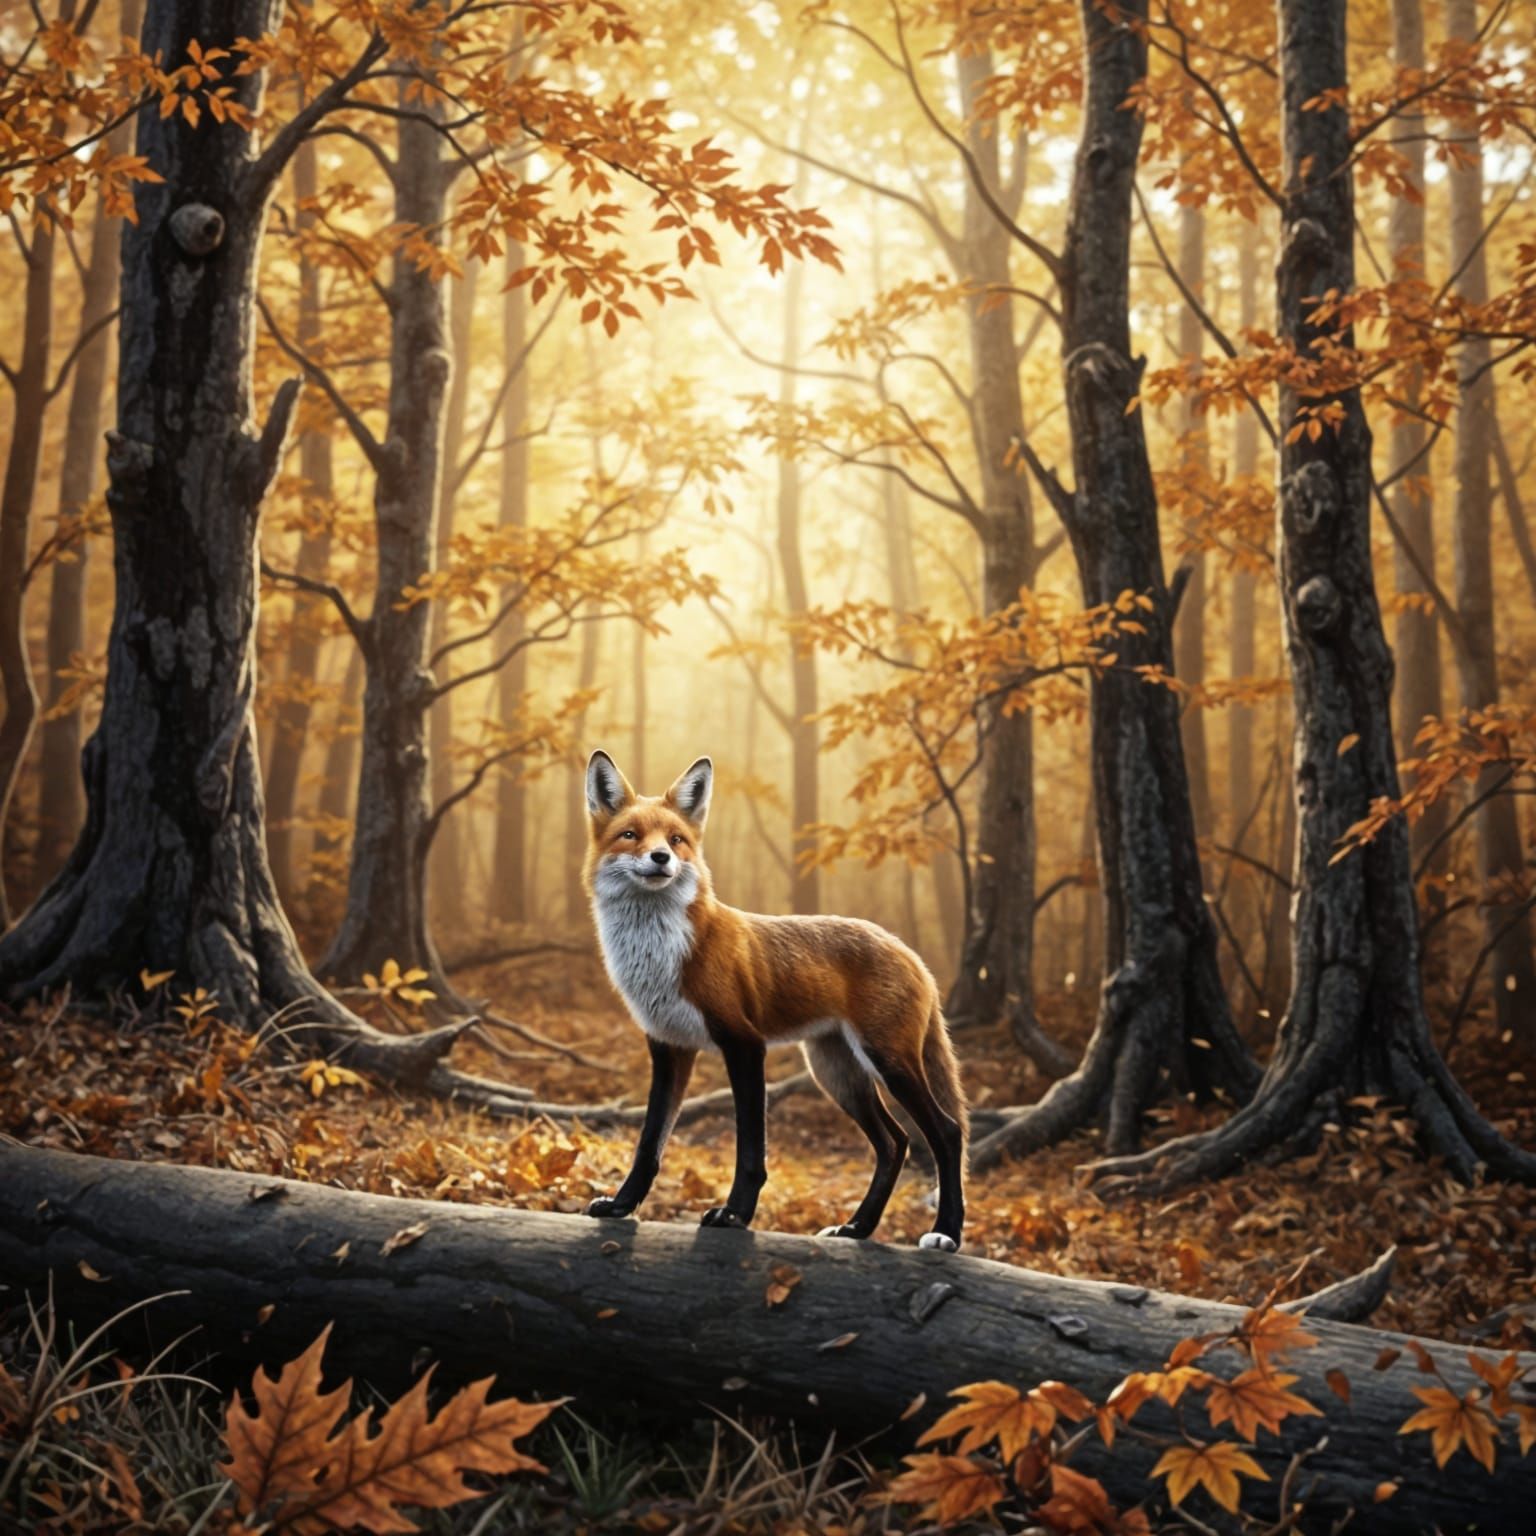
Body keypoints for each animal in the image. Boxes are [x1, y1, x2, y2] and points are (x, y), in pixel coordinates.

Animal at [581, 749, 967, 1251]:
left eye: (677, 839)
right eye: (630, 835)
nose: (661, 857)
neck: (665, 954)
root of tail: (908, 950)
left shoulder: (744, 1044)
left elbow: (750, 1149)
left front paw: (734, 1215)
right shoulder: (669, 1047)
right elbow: (649, 1144)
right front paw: (621, 1205)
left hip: (888, 1061)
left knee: (947, 1132)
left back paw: (946, 1232)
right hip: (837, 1073)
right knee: (894, 1143)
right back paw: (857, 1228)